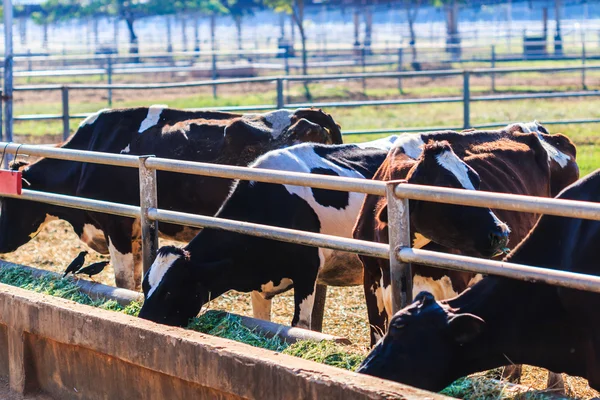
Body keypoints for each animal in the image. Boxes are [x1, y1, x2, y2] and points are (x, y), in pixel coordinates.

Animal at [0, 106, 342, 290]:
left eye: (8, 200)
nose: (1, 243)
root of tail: (304, 113)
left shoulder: (117, 225)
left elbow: (123, 281)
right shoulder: (137, 232)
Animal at [137, 136, 506, 330]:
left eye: (171, 290)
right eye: (146, 286)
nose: (142, 321)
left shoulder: (306, 272)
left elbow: (300, 326)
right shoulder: (258, 283)